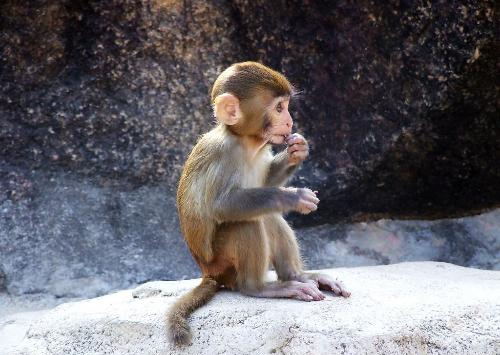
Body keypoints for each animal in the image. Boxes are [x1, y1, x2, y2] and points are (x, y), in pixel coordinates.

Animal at [167, 62, 348, 348]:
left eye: (286, 106)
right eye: (279, 108)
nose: (289, 121)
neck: (246, 142)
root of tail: (208, 273)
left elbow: (266, 182)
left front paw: (297, 150)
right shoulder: (223, 154)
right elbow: (221, 206)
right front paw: (294, 197)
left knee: (268, 216)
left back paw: (298, 276)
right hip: (223, 264)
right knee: (247, 222)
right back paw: (260, 287)